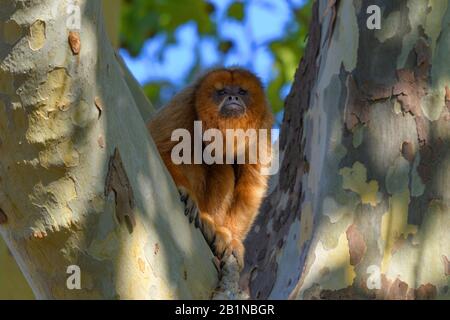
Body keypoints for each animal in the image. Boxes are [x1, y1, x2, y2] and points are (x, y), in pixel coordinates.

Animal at [149, 68, 272, 270]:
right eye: (222, 92)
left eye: (241, 91)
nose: (232, 97)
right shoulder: (183, 104)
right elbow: (158, 146)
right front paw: (186, 192)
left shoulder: (263, 128)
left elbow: (251, 186)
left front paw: (235, 242)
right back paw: (206, 219)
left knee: (221, 165)